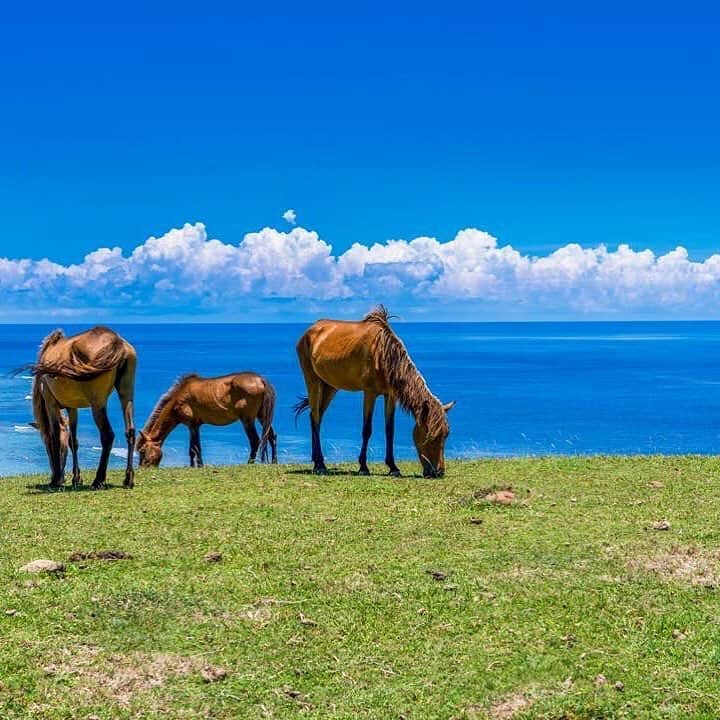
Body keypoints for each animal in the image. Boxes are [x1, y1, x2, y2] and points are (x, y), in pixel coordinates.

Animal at [26, 326, 137, 490]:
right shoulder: (72, 408)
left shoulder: (51, 404)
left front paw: (56, 480)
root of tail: (117, 342)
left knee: (107, 435)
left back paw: (98, 480)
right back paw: (128, 479)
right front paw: (76, 478)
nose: (61, 477)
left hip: (97, 402)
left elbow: (55, 436)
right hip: (126, 393)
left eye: (47, 447)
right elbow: (74, 441)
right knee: (130, 431)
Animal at [135, 372, 278, 468]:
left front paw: (199, 466)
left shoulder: (193, 425)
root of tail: (261, 380)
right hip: (262, 416)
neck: (178, 400)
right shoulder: (193, 426)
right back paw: (274, 462)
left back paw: (249, 464)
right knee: (272, 436)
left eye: (142, 451)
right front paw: (193, 466)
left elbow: (196, 448)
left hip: (247, 420)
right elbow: (192, 449)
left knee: (255, 441)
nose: (143, 469)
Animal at [294, 306, 454, 478]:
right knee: (316, 418)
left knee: (315, 416)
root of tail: (309, 331)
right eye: (431, 436)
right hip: (313, 381)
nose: (438, 472)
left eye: (446, 435)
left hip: (330, 386)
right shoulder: (369, 393)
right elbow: (367, 429)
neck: (384, 355)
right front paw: (363, 466)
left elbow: (389, 429)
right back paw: (320, 464)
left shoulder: (390, 396)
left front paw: (393, 467)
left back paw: (316, 460)